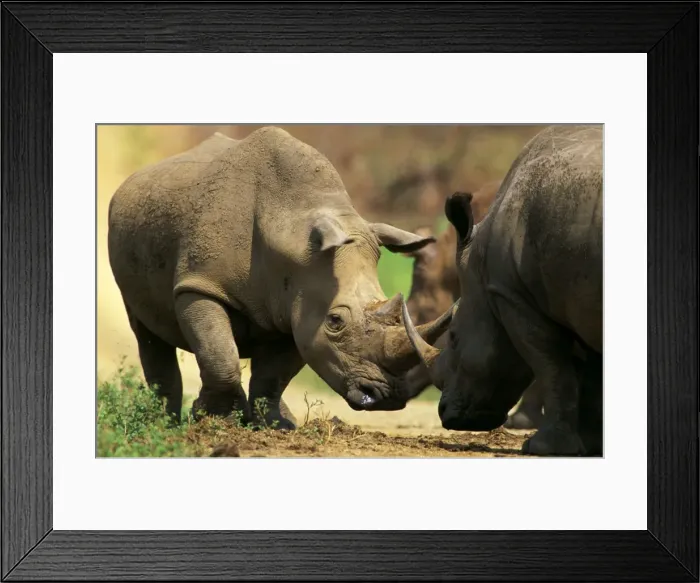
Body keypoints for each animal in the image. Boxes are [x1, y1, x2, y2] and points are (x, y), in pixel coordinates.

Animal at [107, 127, 453, 429]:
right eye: (335, 321)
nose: (386, 398)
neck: (291, 229)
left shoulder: (298, 305)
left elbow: (274, 375)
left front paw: (276, 426)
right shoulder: (200, 285)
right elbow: (220, 356)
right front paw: (214, 421)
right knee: (146, 331)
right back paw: (161, 423)